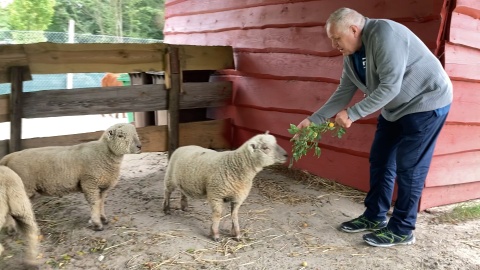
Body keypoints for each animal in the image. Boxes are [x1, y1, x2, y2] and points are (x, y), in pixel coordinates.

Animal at [0, 123, 142, 231]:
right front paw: (97, 224)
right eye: (120, 135)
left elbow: (101, 202)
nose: (140, 146)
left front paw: (103, 218)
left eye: (136, 133)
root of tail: (8, 157)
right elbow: (94, 203)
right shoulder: (89, 183)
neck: (103, 153)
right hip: (23, 185)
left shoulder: (102, 186)